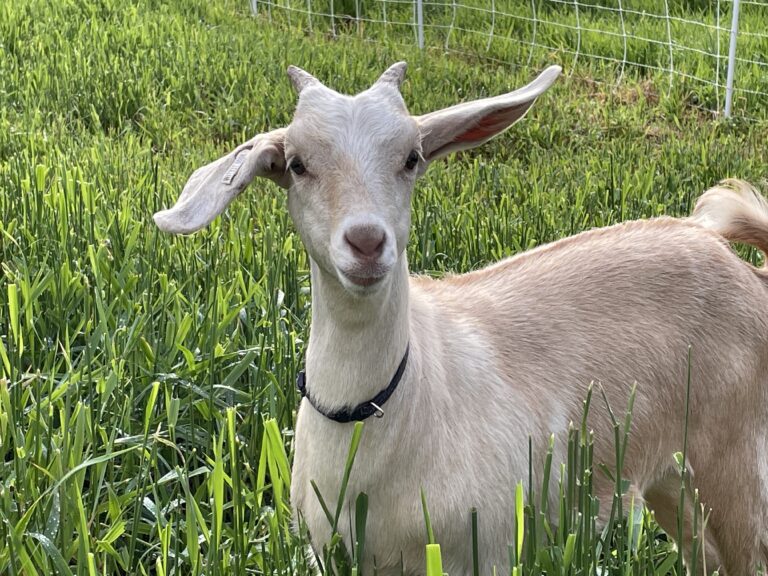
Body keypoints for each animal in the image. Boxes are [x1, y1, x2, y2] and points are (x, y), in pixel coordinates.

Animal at [154, 63, 768, 575]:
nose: (367, 242)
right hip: (672, 476)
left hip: (737, 459)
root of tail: (743, 267)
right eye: (297, 165)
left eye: (412, 158)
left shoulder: (486, 544)